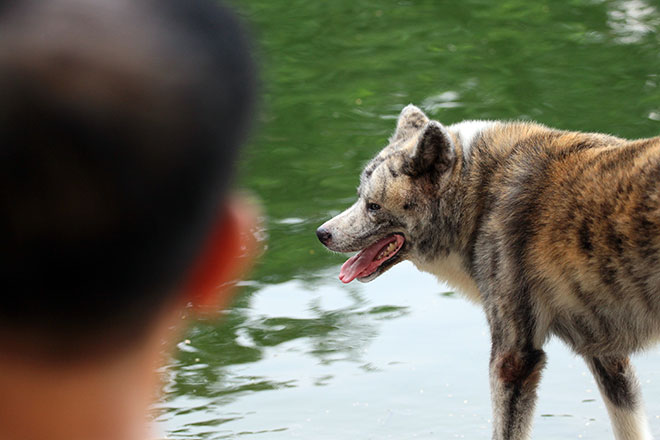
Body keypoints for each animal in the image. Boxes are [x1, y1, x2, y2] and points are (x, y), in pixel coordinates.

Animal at [316, 105, 660, 438]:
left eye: (373, 206)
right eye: (359, 197)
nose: (322, 233)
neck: (478, 193)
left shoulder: (513, 358)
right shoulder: (606, 355)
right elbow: (629, 424)